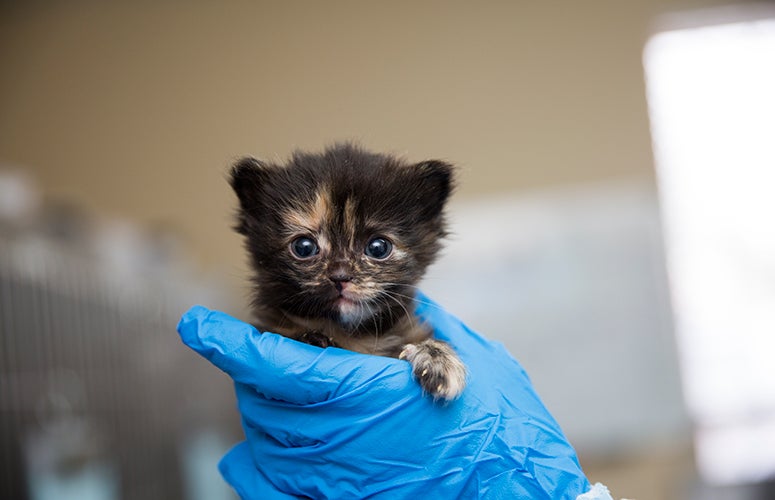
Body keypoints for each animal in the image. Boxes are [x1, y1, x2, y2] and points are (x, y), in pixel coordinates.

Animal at [227, 143, 464, 400]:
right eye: (304, 247)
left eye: (378, 248)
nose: (340, 277)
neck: (351, 334)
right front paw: (312, 339)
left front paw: (438, 359)